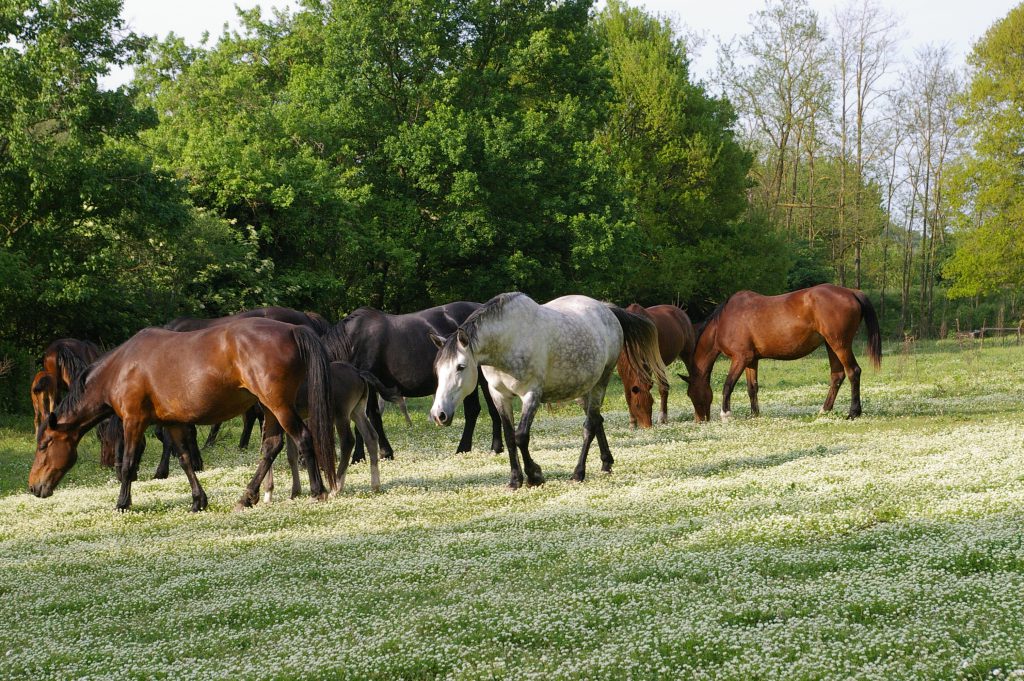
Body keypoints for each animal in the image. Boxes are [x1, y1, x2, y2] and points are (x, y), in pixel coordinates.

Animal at [29, 319, 335, 509]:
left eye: (44, 445)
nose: (33, 487)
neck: (122, 367)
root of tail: (293, 329)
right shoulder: (173, 423)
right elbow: (185, 460)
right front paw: (198, 501)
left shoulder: (133, 421)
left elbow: (128, 464)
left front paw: (122, 503)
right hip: (270, 409)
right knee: (271, 447)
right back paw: (246, 497)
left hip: (279, 406)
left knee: (304, 438)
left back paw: (317, 491)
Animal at [319, 303, 503, 458]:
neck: (352, 342)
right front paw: (361, 456)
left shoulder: (369, 385)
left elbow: (371, 417)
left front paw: (381, 453)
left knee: (483, 409)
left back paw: (479, 448)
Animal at [428, 292, 667, 489]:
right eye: (437, 369)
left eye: (460, 366)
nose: (439, 415)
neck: (508, 339)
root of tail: (606, 309)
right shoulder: (500, 396)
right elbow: (509, 437)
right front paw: (515, 480)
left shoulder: (531, 394)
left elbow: (521, 436)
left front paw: (535, 476)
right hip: (583, 389)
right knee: (597, 421)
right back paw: (606, 463)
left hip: (602, 381)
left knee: (589, 426)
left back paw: (578, 474)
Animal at [692, 282, 884, 419]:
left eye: (691, 393)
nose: (701, 419)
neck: (724, 321)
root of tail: (851, 292)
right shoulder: (751, 360)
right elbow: (752, 387)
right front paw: (755, 415)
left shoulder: (740, 358)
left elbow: (728, 385)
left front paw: (726, 415)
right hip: (831, 346)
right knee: (837, 376)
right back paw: (824, 410)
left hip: (840, 345)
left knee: (853, 372)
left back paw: (853, 412)